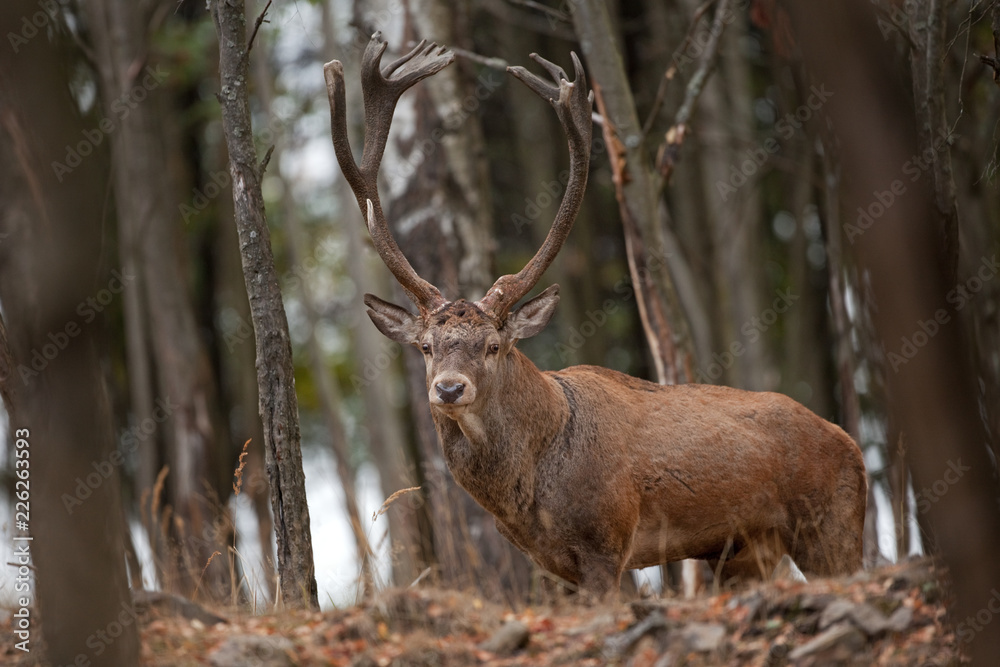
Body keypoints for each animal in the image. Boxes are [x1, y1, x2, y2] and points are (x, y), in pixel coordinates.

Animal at [323, 34, 867, 597]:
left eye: (493, 346)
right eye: (426, 347)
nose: (449, 389)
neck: (530, 493)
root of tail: (852, 445)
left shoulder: (607, 540)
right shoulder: (554, 565)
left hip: (832, 524)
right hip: (745, 552)